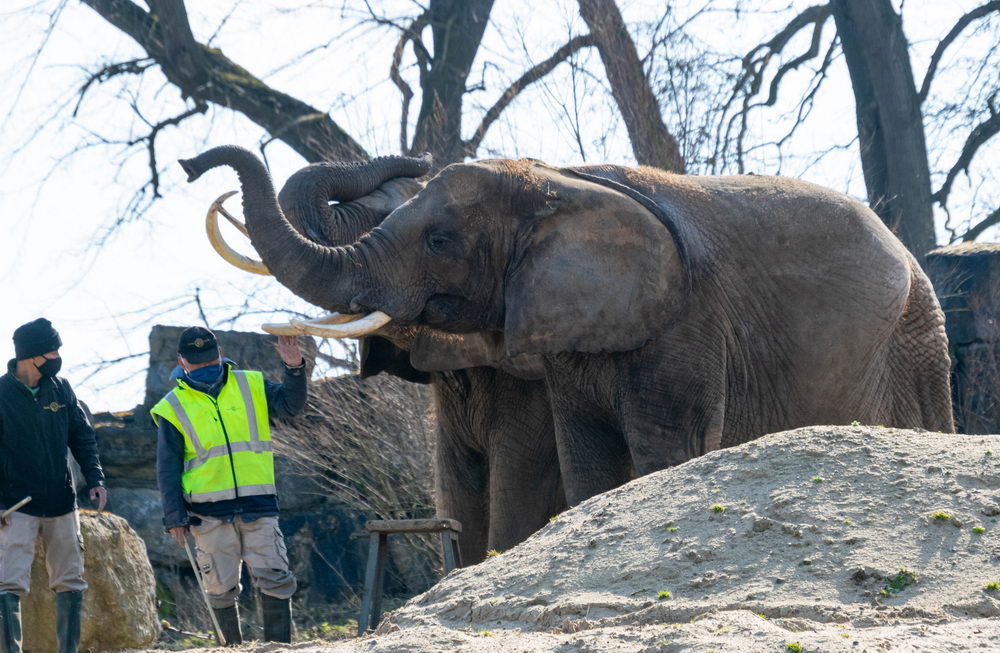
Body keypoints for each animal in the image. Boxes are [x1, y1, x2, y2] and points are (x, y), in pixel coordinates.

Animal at [180, 149, 952, 510]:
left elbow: (663, 448)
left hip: (916, 335)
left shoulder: (687, 322)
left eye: (439, 240)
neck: (557, 181)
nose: (191, 166)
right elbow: (585, 460)